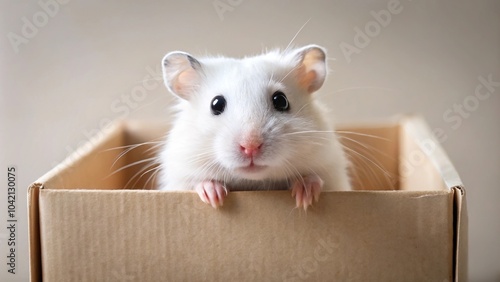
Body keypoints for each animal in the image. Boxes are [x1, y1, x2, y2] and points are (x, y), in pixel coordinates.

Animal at [158, 45, 350, 209]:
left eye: (281, 101)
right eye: (216, 104)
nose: (250, 147)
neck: (254, 183)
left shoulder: (331, 170)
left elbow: (315, 178)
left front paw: (305, 196)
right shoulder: (179, 175)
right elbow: (197, 181)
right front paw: (214, 197)